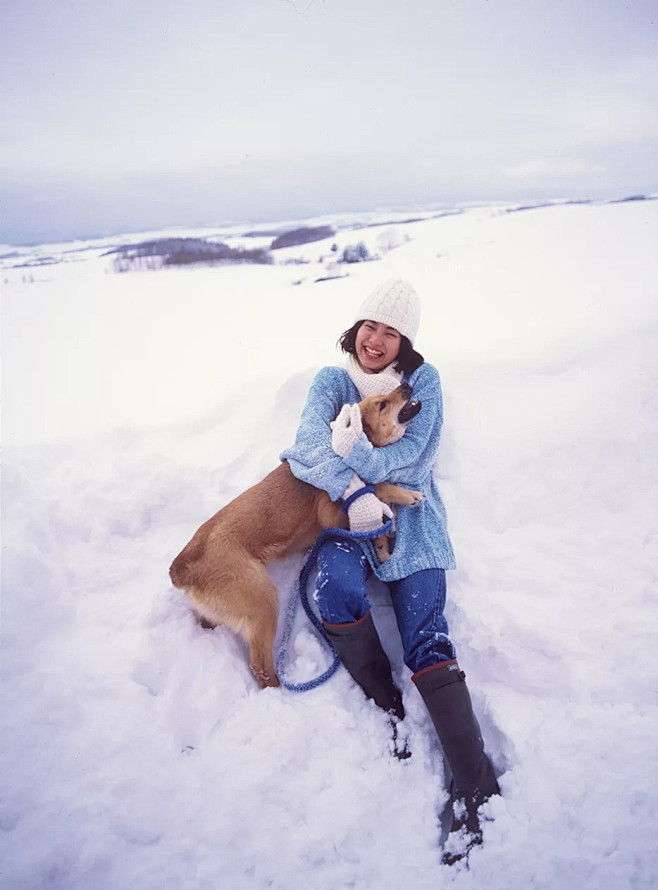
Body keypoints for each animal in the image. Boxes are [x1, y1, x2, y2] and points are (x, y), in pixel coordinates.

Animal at [169, 382, 422, 688]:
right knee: (260, 666)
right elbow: (378, 487)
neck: (344, 457)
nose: (406, 384)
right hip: (264, 600)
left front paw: (382, 542)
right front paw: (404, 497)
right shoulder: (331, 513)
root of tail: (182, 566)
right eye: (382, 404)